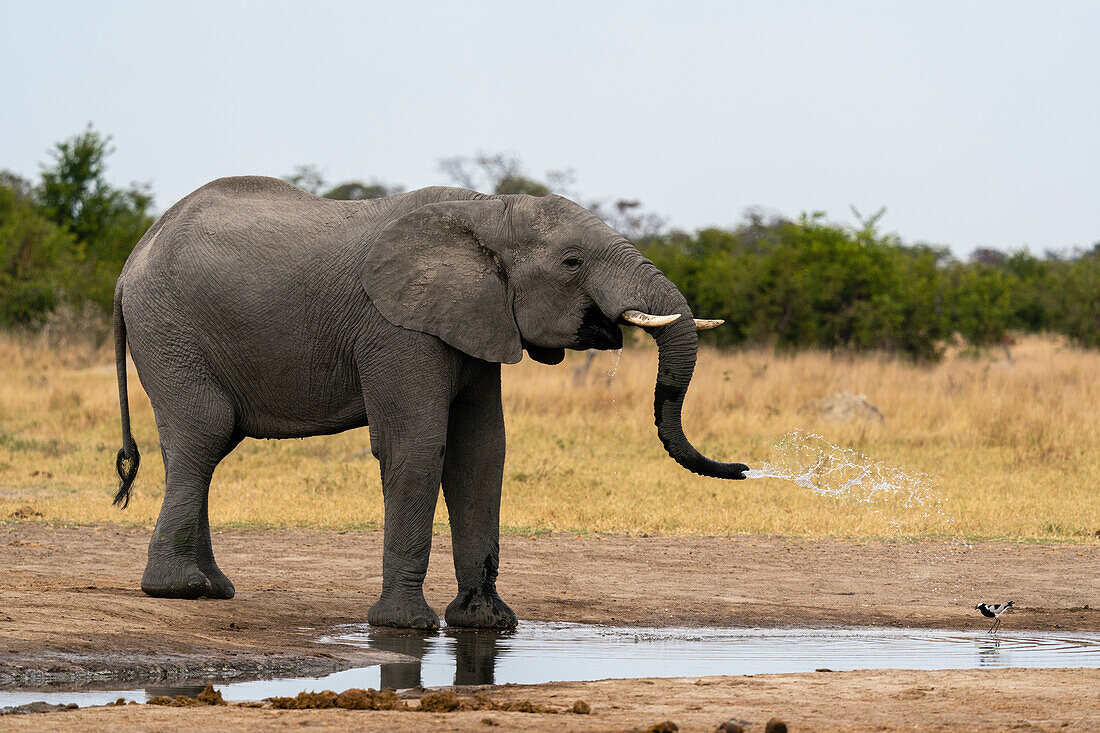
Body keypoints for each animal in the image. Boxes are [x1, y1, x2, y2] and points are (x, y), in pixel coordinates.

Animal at [111, 176, 748, 629]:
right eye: (572, 262)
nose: (743, 468)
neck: (487, 210)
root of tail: (128, 265)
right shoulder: (396, 327)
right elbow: (416, 446)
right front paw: (405, 627)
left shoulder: (476, 320)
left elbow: (482, 452)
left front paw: (486, 624)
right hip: (169, 330)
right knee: (204, 433)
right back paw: (179, 590)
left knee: (209, 446)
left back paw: (214, 589)